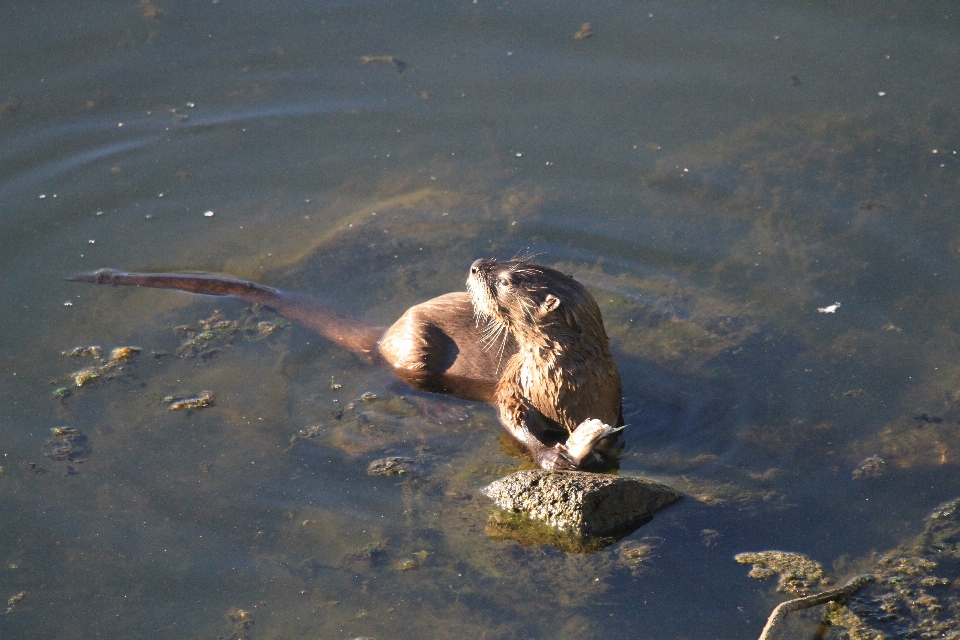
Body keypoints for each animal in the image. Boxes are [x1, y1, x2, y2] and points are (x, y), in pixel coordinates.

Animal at [67, 258, 624, 470]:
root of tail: (385, 333)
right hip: (416, 345)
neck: (560, 383)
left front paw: (599, 449)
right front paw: (552, 455)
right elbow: (510, 421)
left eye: (507, 280)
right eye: (504, 265)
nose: (476, 265)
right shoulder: (514, 383)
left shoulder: (610, 391)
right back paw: (439, 409)